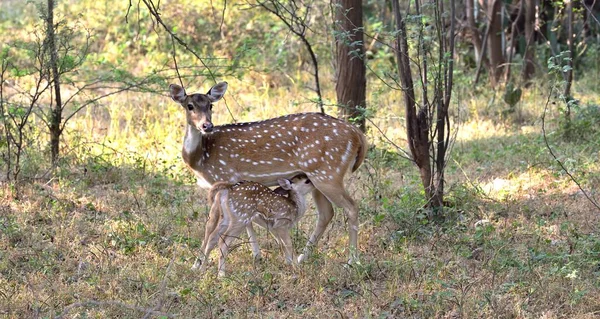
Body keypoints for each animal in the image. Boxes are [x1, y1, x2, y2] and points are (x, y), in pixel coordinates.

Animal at [168, 83, 366, 264]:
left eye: (210, 105)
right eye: (189, 106)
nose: (207, 125)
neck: (201, 158)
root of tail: (357, 134)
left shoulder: (223, 177)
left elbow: (212, 224)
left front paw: (197, 264)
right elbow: (246, 220)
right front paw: (258, 256)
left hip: (328, 173)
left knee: (351, 207)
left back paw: (352, 261)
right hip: (317, 177)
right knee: (326, 212)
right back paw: (303, 257)